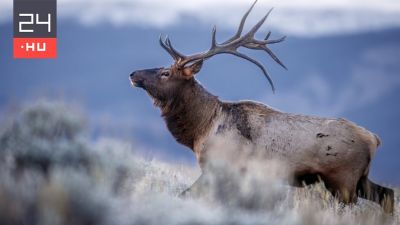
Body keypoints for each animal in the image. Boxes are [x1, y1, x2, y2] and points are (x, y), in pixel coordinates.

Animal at [130, 0, 394, 214]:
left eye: (165, 73)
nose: (133, 74)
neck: (200, 129)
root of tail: (374, 139)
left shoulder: (221, 167)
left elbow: (185, 195)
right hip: (360, 179)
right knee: (388, 195)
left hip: (344, 180)